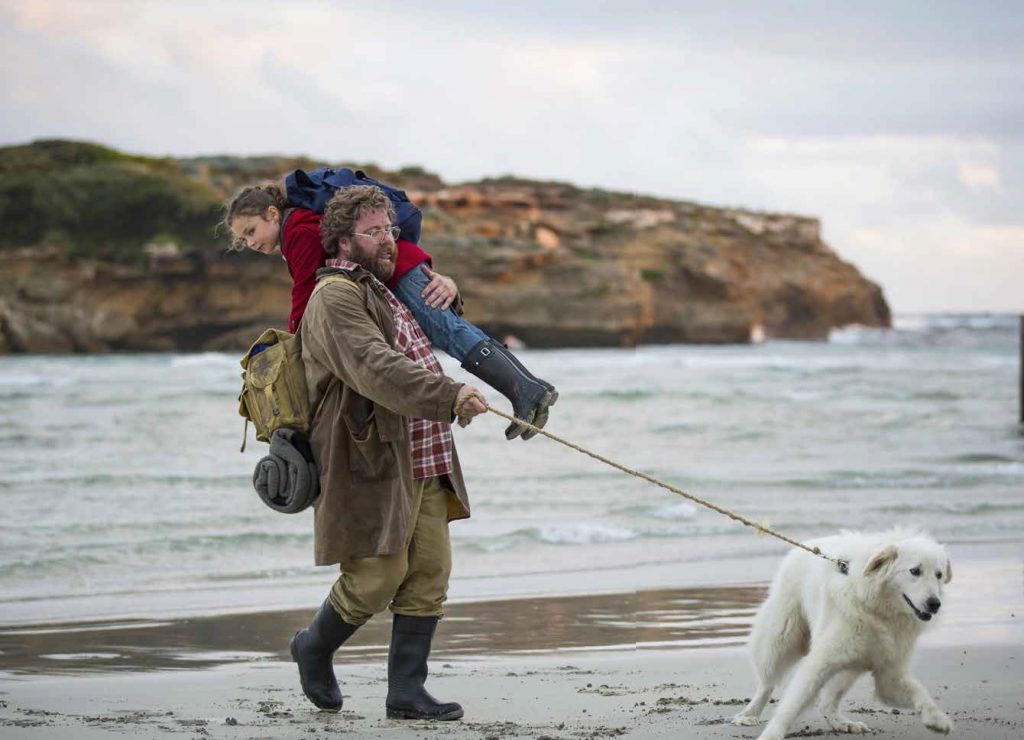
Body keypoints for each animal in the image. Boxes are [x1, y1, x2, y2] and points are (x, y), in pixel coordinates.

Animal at [733, 528, 954, 736]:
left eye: (939, 575)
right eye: (915, 571)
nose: (935, 604)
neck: (879, 611)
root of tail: (808, 544)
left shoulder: (889, 676)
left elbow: (919, 691)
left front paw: (936, 720)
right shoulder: (818, 664)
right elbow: (790, 707)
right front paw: (772, 734)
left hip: (850, 666)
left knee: (827, 702)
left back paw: (842, 723)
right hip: (781, 639)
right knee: (767, 683)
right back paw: (749, 715)